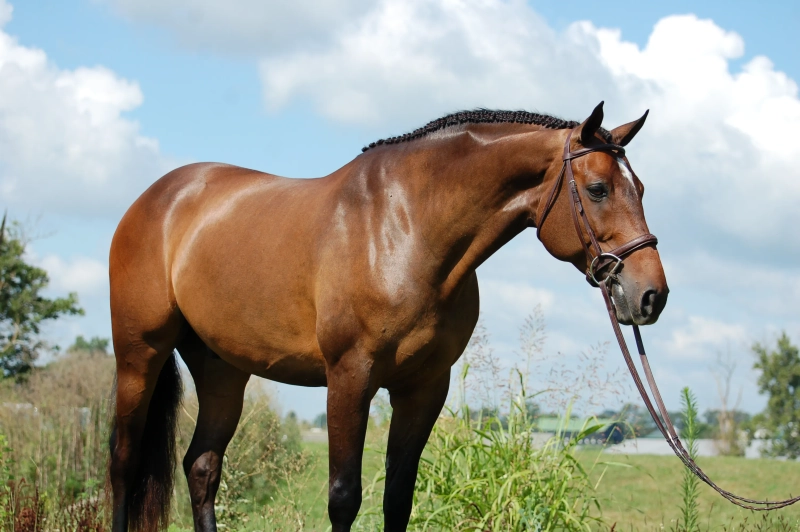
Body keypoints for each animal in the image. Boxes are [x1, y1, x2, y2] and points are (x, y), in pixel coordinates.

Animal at [108, 102, 668, 532]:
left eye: (642, 189)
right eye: (597, 189)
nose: (651, 296)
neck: (405, 228)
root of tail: (156, 199)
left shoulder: (423, 386)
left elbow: (398, 499)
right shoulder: (349, 378)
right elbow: (343, 497)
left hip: (222, 369)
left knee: (202, 466)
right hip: (139, 356)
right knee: (123, 463)